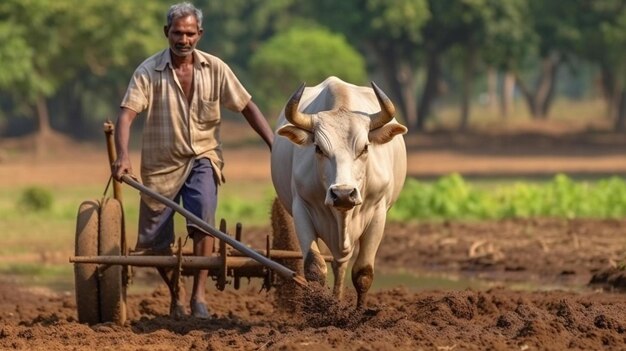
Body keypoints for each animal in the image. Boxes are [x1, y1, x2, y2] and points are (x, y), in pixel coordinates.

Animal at [270, 77, 408, 308]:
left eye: (365, 148)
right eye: (318, 148)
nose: (343, 194)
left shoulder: (378, 213)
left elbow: (363, 273)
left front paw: (359, 312)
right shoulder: (301, 209)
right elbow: (314, 268)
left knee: (341, 264)